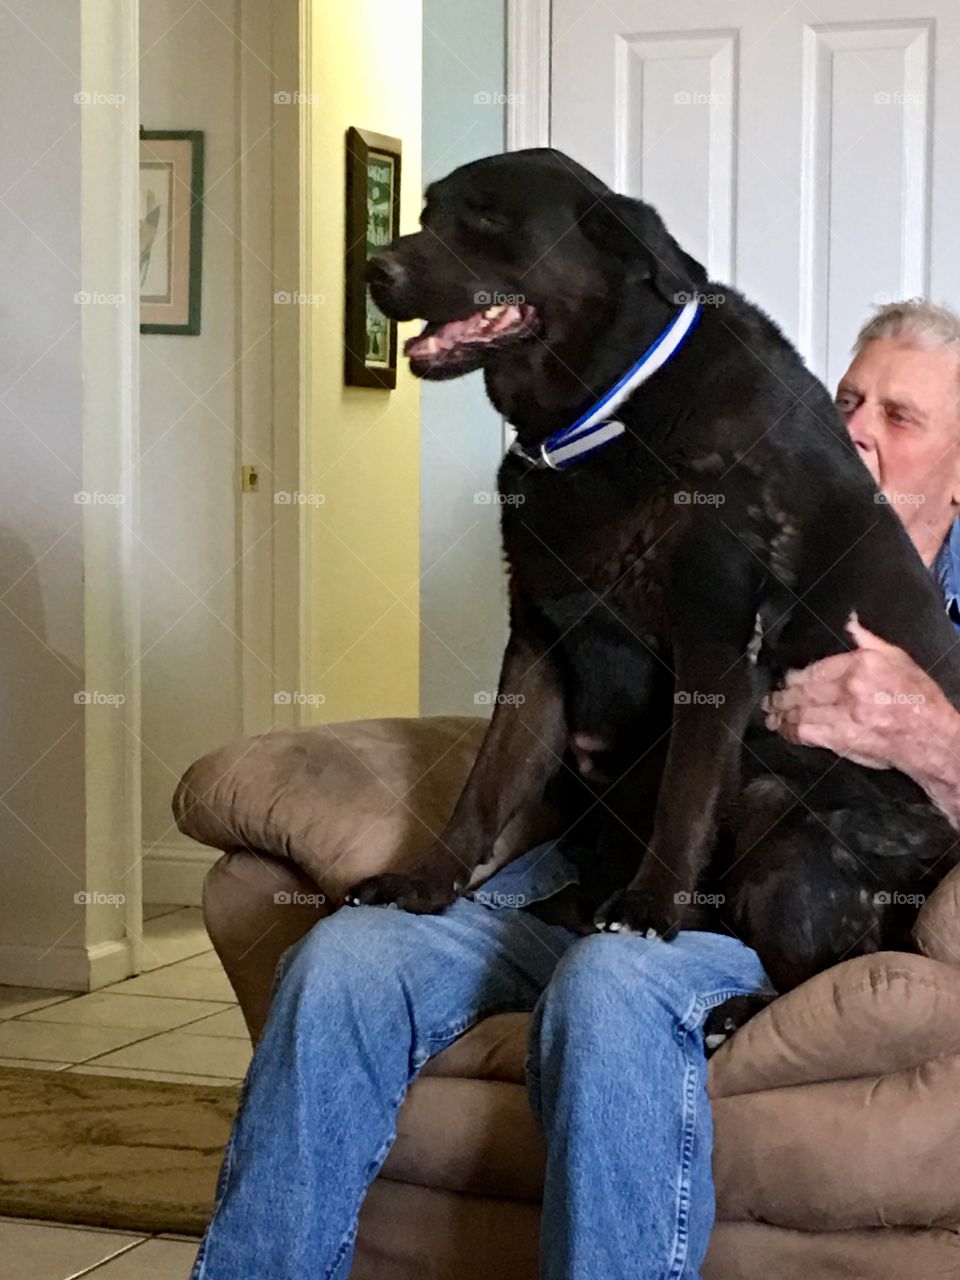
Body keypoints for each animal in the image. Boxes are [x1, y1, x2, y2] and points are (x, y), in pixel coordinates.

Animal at [345, 145, 960, 993]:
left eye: (491, 222)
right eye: (428, 214)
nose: (375, 268)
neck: (608, 411)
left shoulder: (715, 640)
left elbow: (685, 789)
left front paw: (649, 906)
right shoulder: (538, 642)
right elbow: (484, 784)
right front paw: (425, 884)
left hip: (780, 794)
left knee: (816, 969)